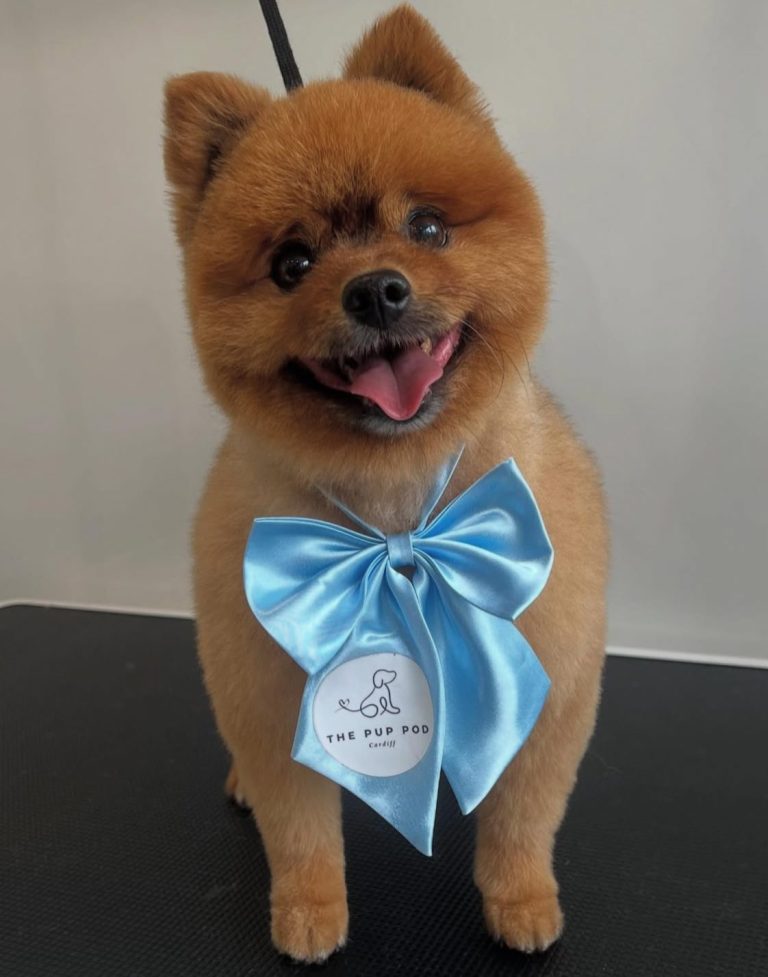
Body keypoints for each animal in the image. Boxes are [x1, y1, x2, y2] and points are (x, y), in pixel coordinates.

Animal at [163, 4, 607, 963]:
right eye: (292, 264)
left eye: (429, 227)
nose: (374, 290)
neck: (398, 510)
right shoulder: (269, 694)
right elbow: (299, 830)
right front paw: (307, 911)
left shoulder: (551, 687)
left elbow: (523, 821)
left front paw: (522, 900)